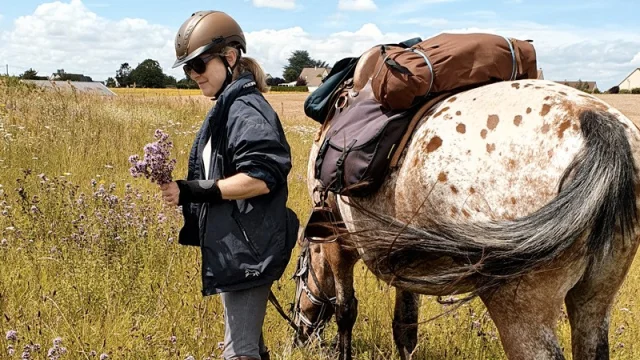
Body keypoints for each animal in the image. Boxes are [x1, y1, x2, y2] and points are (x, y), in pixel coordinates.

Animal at [288, 51, 640, 360]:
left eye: (297, 278)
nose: (298, 337)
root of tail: (594, 121)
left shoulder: (338, 244)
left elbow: (345, 310)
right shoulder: (401, 259)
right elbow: (405, 327)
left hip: (521, 311)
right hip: (594, 301)